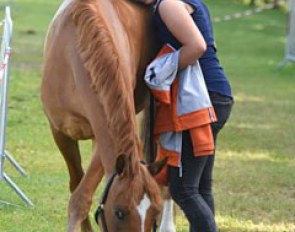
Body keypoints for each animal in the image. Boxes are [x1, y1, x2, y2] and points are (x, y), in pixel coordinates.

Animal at [40, 0, 171, 231]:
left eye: (154, 212)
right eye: (119, 212)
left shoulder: (102, 136)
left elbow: (81, 197)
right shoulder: (60, 133)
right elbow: (76, 187)